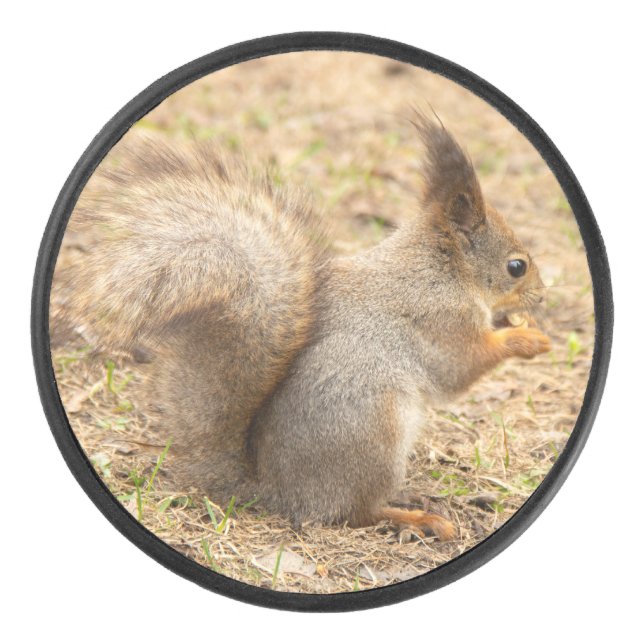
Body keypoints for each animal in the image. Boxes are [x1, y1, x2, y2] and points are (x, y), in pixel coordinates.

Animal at [53, 114, 551, 541]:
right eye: (516, 266)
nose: (542, 297)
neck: (440, 269)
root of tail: (278, 493)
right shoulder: (440, 319)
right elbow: (461, 367)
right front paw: (526, 338)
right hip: (373, 430)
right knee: (354, 512)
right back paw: (416, 518)